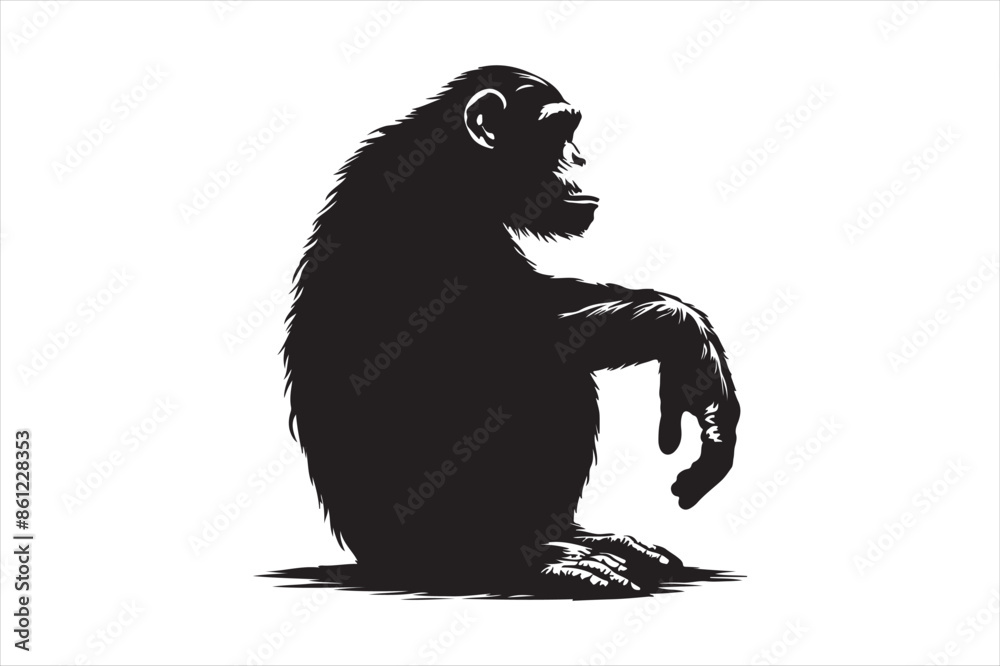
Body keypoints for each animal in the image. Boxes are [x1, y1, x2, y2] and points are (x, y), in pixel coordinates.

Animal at [282, 65, 739, 598]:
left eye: (572, 132)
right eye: (558, 131)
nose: (579, 157)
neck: (461, 168)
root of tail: (380, 556)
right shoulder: (433, 223)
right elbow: (506, 337)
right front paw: (682, 336)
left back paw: (582, 539)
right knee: (549, 386)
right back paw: (525, 557)